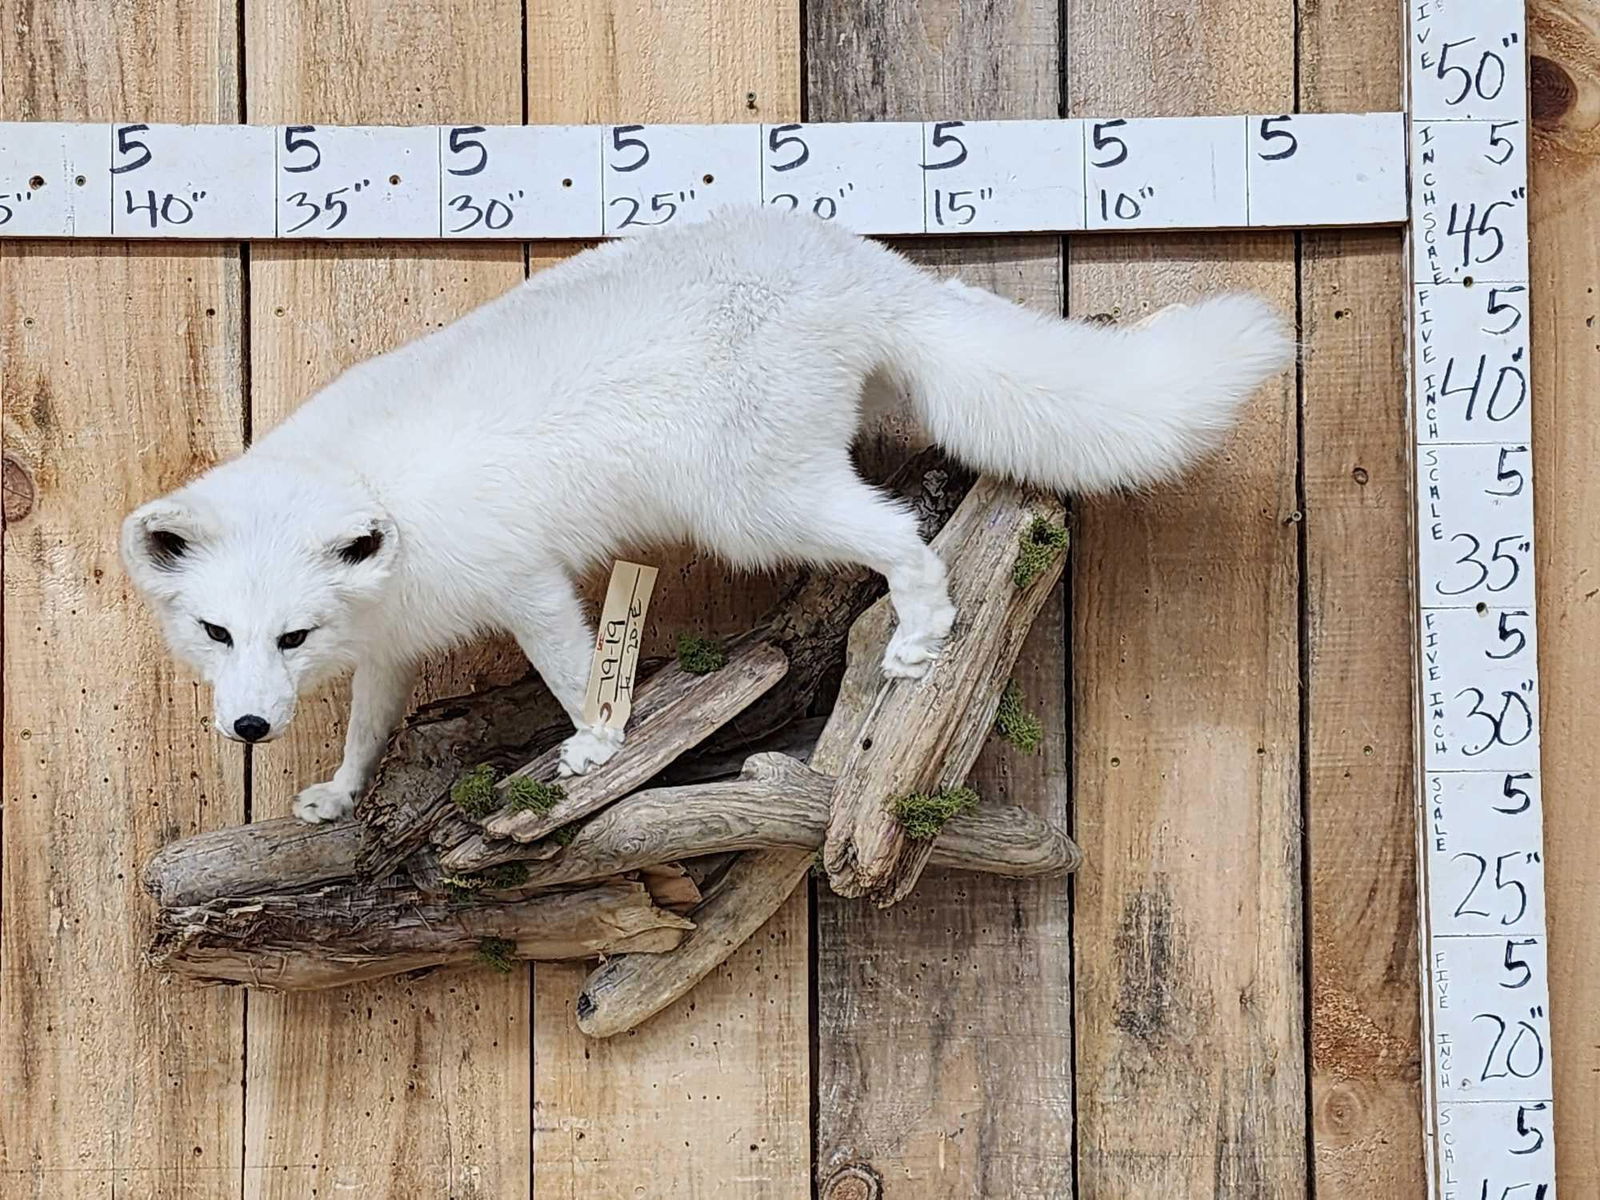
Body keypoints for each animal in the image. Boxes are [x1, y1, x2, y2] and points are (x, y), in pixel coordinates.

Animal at [121, 207, 1293, 824]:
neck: (383, 505)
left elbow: (572, 663)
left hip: (752, 503)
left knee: (897, 533)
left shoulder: (525, 579)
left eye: (291, 635)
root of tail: (864, 262)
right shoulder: (396, 640)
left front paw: (597, 744)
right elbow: (370, 721)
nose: (249, 729)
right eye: (217, 632)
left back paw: (921, 631)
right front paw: (338, 791)